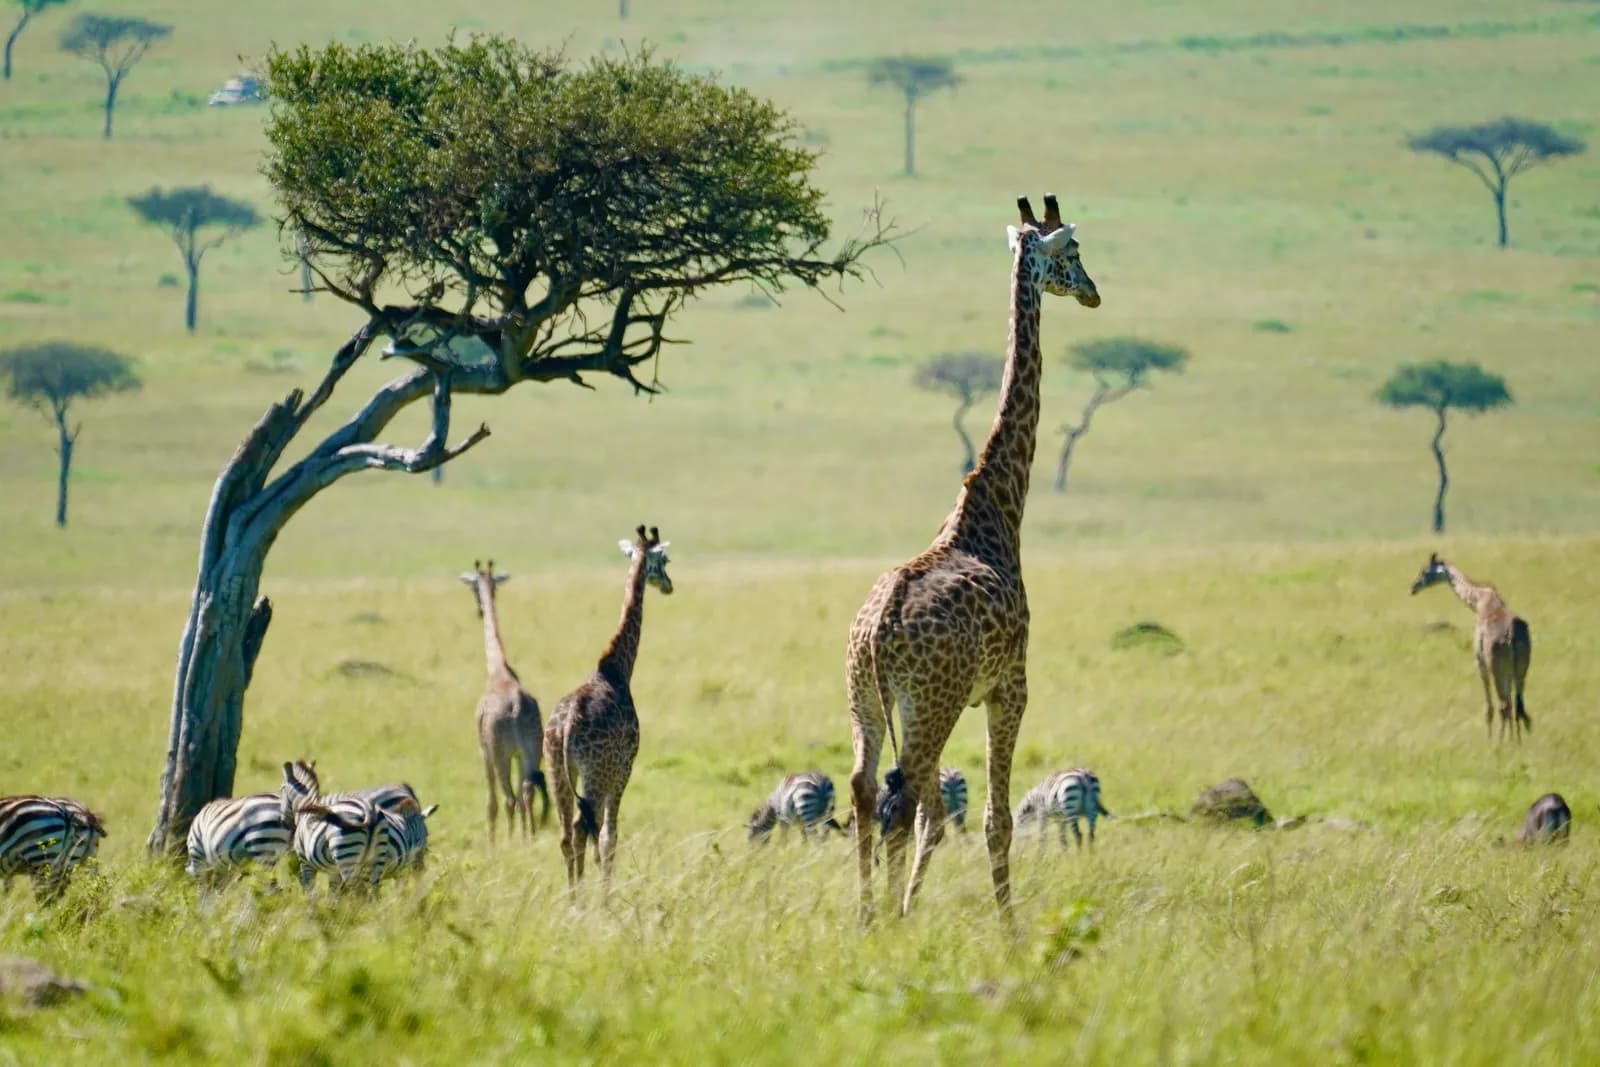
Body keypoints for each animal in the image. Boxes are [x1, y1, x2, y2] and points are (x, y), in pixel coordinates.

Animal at [460, 560, 549, 840]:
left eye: (474, 589)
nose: (479, 609)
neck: (498, 670)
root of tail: (517, 707)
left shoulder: (484, 750)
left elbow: (491, 802)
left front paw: (492, 841)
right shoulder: (521, 753)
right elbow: (523, 796)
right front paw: (525, 834)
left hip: (501, 752)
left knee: (509, 797)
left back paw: (509, 840)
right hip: (532, 748)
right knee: (527, 792)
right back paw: (528, 836)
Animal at [543, 525, 673, 888]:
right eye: (664, 560)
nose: (669, 585)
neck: (616, 668)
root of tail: (566, 726)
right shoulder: (624, 768)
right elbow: (608, 837)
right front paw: (608, 893)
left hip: (557, 770)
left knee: (565, 834)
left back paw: (572, 895)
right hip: (595, 774)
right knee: (582, 828)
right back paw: (586, 894)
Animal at [846, 194, 1100, 924]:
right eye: (1073, 253)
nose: (1094, 292)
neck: (994, 511)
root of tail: (877, 635)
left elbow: (942, 817)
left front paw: (909, 907)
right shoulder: (1010, 685)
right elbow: (994, 820)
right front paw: (1011, 929)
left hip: (866, 701)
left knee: (868, 789)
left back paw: (869, 915)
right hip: (930, 704)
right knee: (904, 798)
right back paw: (885, 922)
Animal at [1411, 552, 1532, 742]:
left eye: (1424, 572)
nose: (1413, 588)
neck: (1477, 601)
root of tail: (1512, 636)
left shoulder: (1479, 661)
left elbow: (1489, 707)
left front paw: (1490, 741)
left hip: (1497, 667)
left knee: (1504, 705)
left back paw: (1500, 743)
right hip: (1520, 669)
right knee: (1517, 705)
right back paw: (1516, 742)